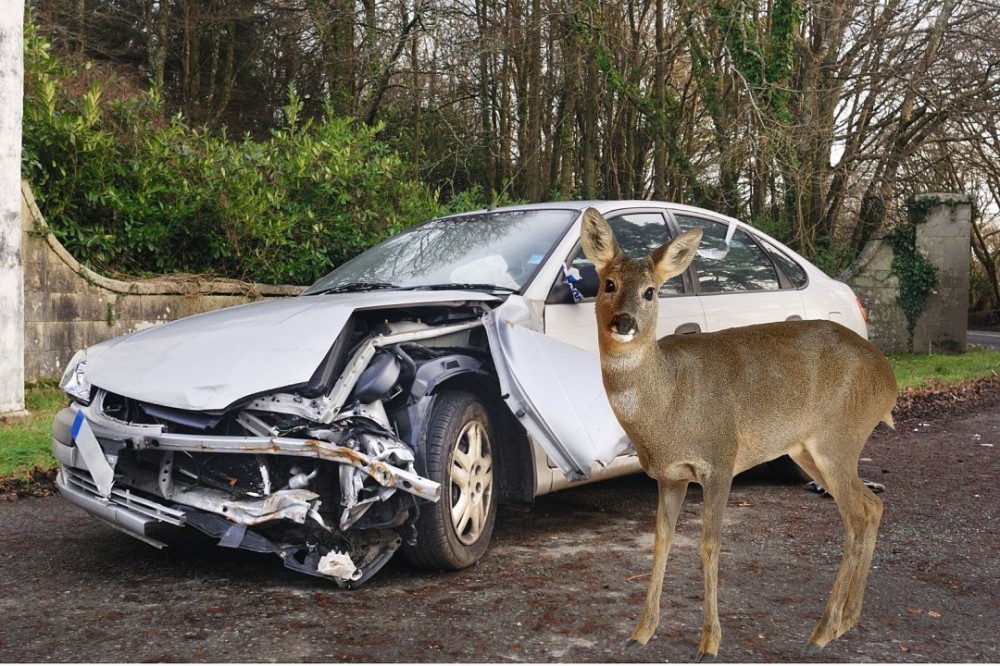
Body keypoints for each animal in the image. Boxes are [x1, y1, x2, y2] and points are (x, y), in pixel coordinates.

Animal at [579, 208, 898, 661]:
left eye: (651, 292)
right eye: (609, 284)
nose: (624, 322)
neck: (669, 400)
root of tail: (890, 380)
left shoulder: (720, 459)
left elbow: (709, 544)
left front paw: (709, 643)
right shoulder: (670, 475)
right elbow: (661, 540)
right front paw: (640, 632)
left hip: (838, 438)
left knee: (855, 517)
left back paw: (822, 631)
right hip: (809, 450)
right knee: (872, 506)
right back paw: (847, 621)